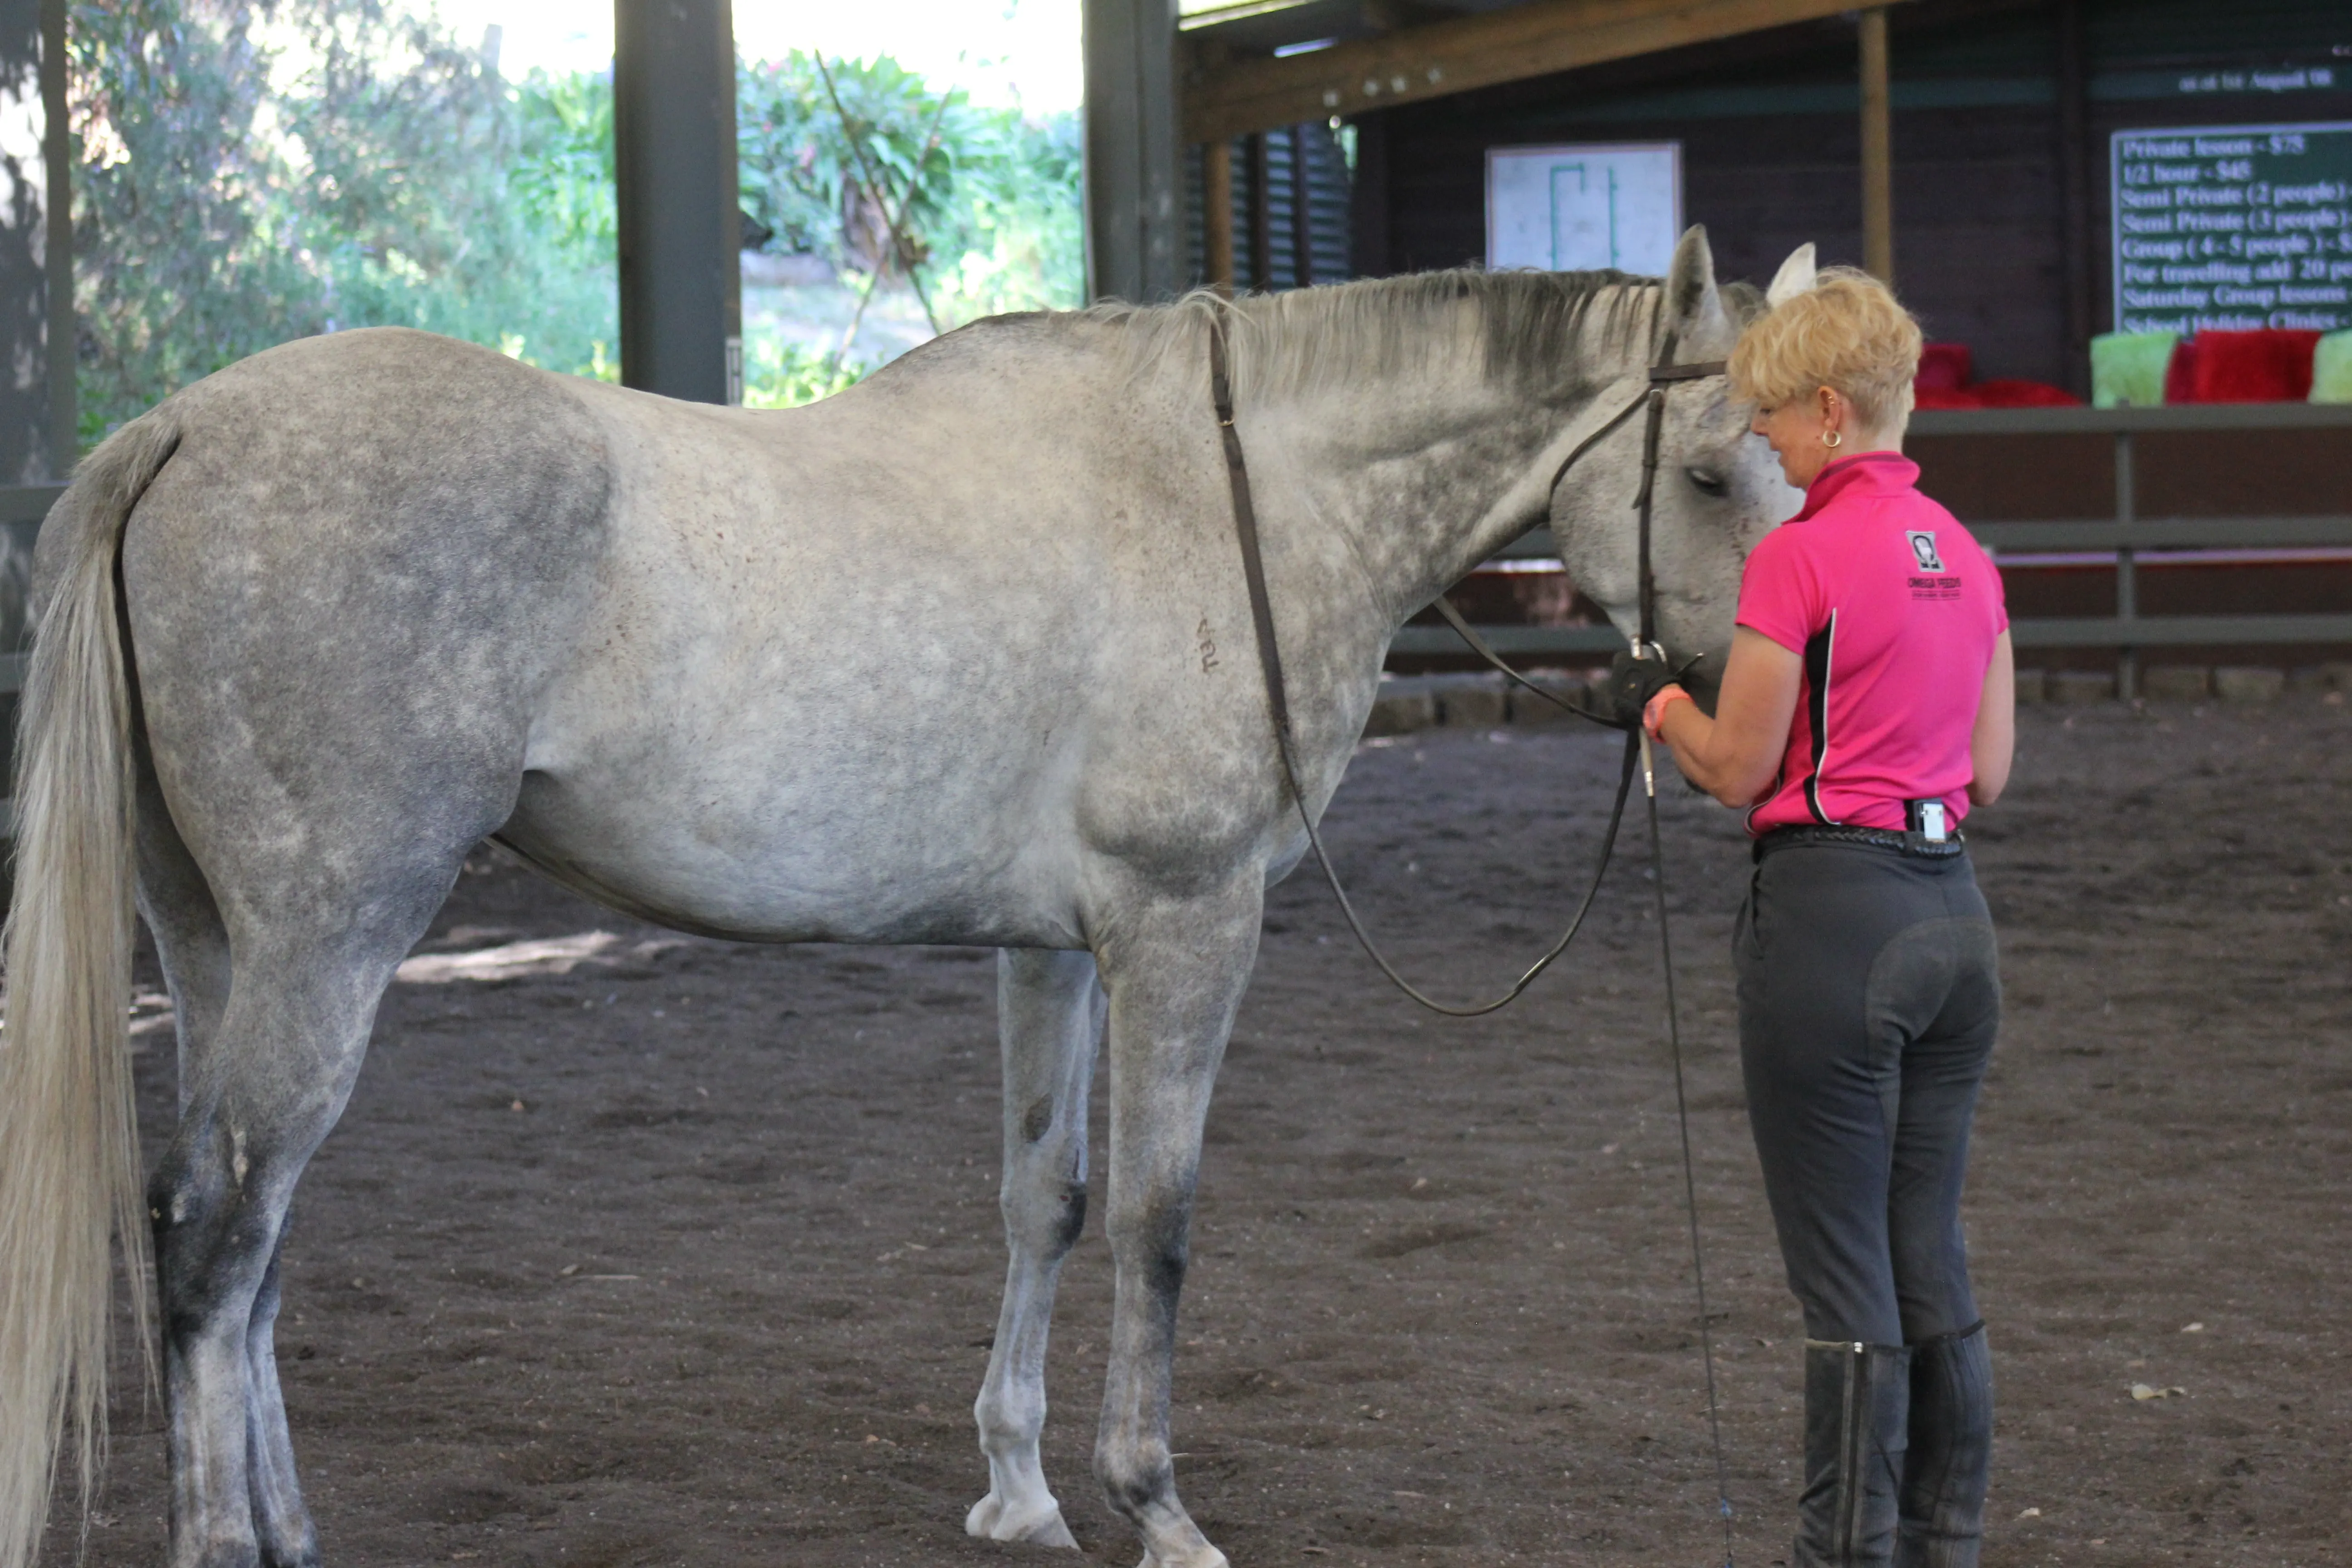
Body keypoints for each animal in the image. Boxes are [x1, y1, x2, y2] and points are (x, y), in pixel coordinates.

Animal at [0, 223, 1806, 1568]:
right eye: (1717, 475)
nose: (1777, 708)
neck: (1231, 493)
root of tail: (177, 430)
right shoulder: (1189, 924)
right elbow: (1156, 1218)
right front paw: (1154, 1504)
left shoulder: (1055, 949)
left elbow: (1044, 1200)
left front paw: (1017, 1492)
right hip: (332, 946)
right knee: (213, 1245)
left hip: (224, 946)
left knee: (251, 1255)